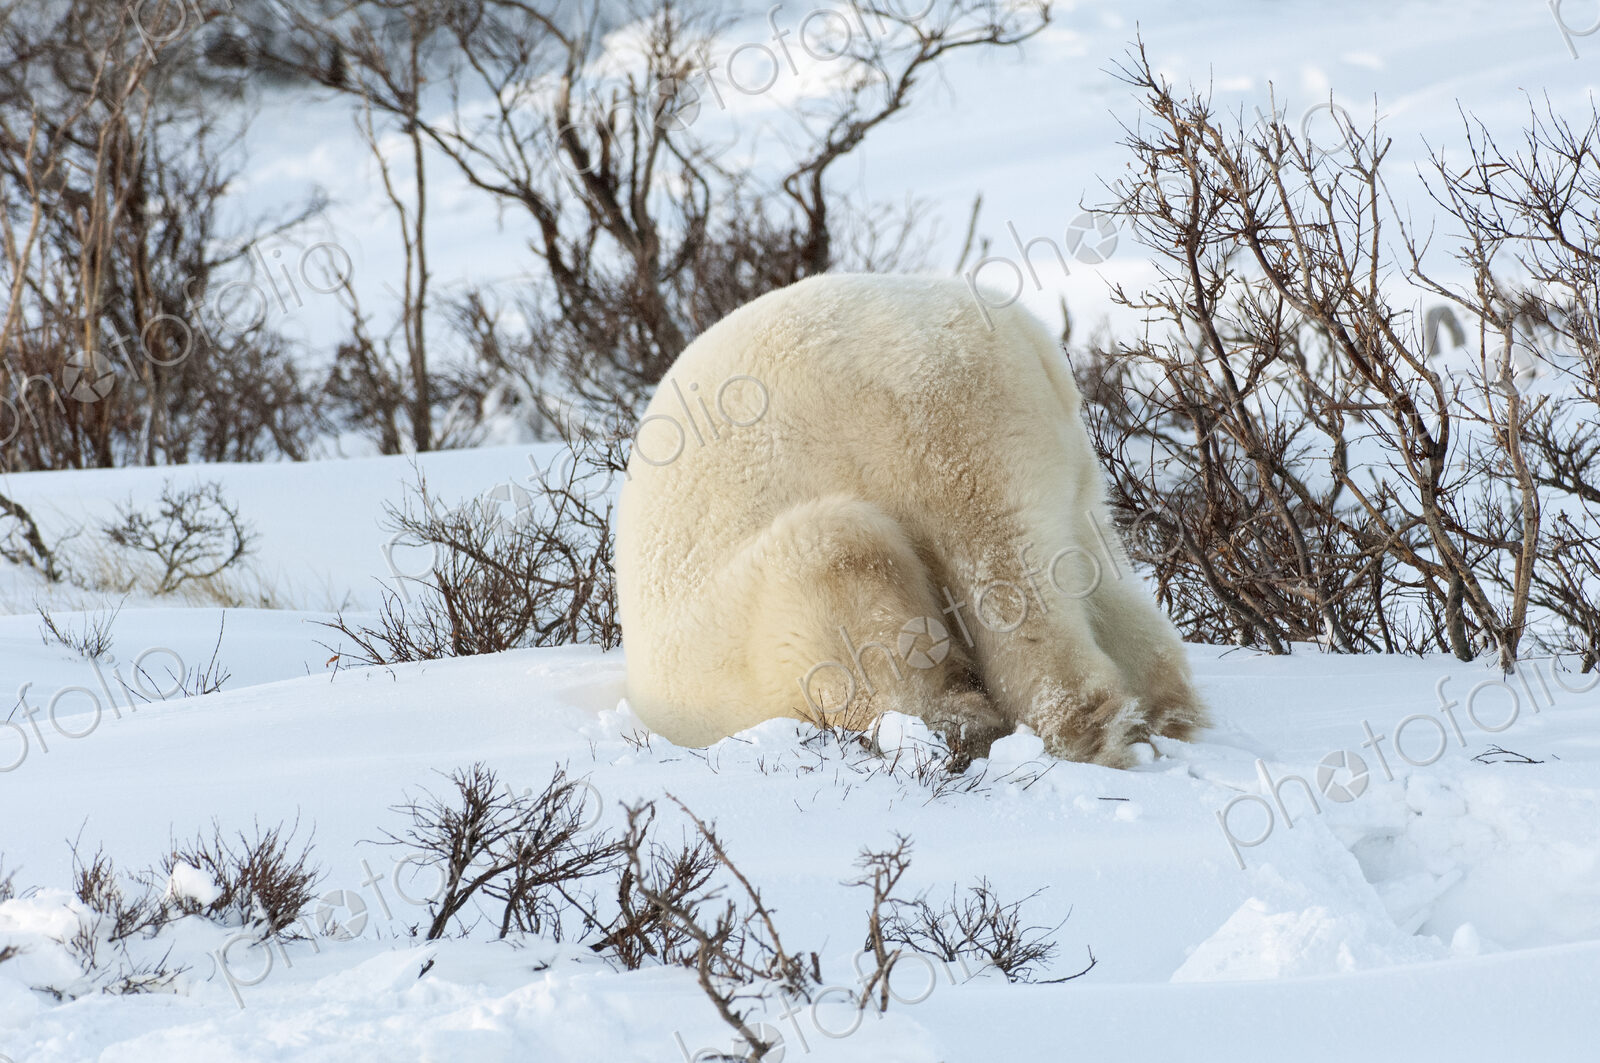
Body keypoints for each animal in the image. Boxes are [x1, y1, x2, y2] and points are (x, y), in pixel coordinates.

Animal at [614, 272, 1208, 767]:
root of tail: (1024, 338)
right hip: (1051, 458)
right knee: (1093, 569)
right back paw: (1165, 711)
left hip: (927, 435)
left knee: (961, 563)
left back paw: (1067, 728)